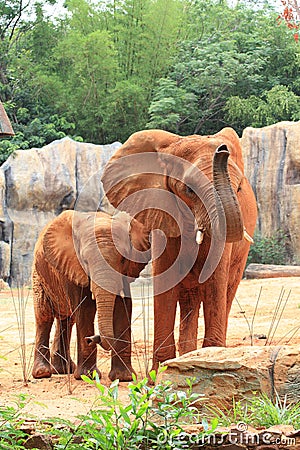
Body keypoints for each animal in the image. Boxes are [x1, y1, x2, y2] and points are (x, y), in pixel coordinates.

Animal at [31, 209, 151, 382]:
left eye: (123, 259)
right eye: (85, 261)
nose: (91, 339)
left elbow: (123, 308)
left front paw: (124, 377)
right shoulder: (71, 264)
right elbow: (85, 309)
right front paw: (87, 376)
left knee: (67, 320)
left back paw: (63, 370)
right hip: (39, 274)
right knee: (44, 316)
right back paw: (43, 373)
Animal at [102, 127, 256, 372]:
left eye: (239, 189)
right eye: (189, 190)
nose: (222, 150)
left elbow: (216, 281)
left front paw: (212, 359)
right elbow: (166, 282)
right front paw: (160, 374)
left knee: (227, 291)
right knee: (189, 299)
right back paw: (186, 358)